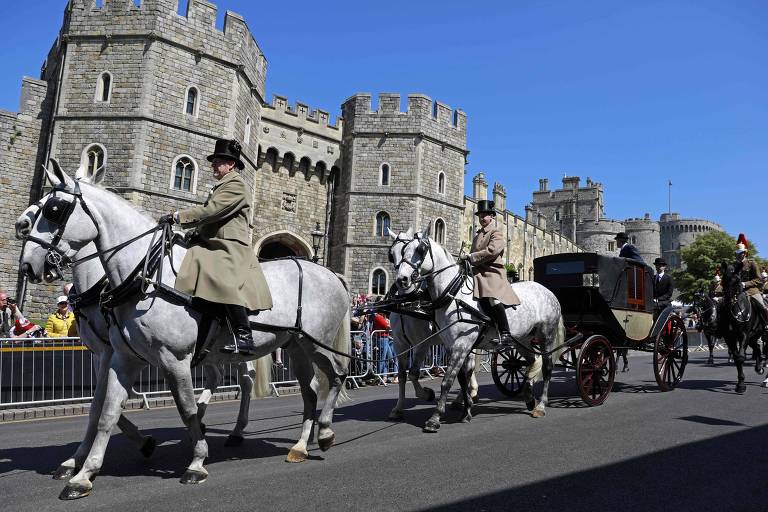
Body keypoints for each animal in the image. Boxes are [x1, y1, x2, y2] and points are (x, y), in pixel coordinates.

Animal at [14, 198, 268, 482]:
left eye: (52, 208)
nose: (20, 224)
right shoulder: (106, 353)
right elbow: (101, 404)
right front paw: (80, 459)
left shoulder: (112, 352)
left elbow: (101, 405)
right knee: (217, 376)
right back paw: (202, 417)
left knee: (245, 379)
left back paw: (235, 430)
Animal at [396, 224, 564, 432]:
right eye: (402, 251)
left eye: (421, 249)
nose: (402, 279)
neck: (454, 294)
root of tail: (548, 291)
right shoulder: (454, 346)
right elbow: (461, 378)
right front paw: (466, 410)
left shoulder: (462, 344)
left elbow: (447, 380)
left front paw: (435, 418)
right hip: (522, 339)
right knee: (532, 361)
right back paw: (529, 397)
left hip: (546, 335)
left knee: (547, 367)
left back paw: (541, 405)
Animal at [716, 262, 764, 394]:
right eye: (723, 280)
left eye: (737, 281)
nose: (727, 303)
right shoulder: (729, 337)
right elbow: (737, 357)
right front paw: (740, 383)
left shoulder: (744, 335)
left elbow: (740, 357)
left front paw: (741, 385)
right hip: (753, 337)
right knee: (757, 348)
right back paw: (759, 367)